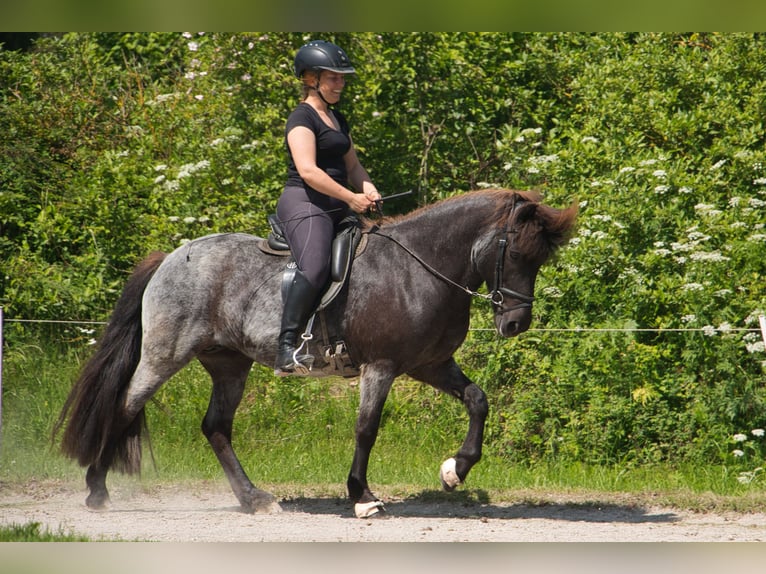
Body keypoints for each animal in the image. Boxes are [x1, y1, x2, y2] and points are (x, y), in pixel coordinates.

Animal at [54, 190, 576, 520]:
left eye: (539, 259)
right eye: (516, 253)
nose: (515, 325)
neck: (420, 266)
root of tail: (168, 259)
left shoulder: (430, 364)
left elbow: (477, 400)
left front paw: (455, 470)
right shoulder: (381, 367)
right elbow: (367, 429)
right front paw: (362, 496)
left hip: (229, 363)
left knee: (216, 427)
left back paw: (254, 499)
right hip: (166, 354)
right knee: (126, 405)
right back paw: (97, 490)